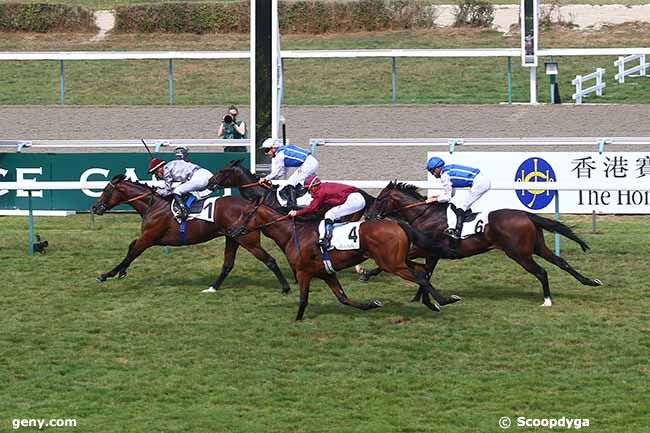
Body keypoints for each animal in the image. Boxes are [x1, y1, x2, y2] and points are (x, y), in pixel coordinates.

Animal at [89, 174, 288, 292]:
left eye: (106, 190)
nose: (96, 207)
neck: (153, 205)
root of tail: (253, 207)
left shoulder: (149, 237)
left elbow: (130, 254)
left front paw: (106, 275)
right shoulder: (154, 239)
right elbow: (131, 247)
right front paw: (121, 272)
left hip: (247, 240)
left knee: (269, 260)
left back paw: (286, 287)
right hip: (233, 237)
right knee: (228, 265)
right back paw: (212, 288)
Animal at [230, 197, 458, 318]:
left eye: (245, 214)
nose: (233, 230)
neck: (291, 234)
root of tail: (396, 223)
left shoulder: (303, 272)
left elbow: (303, 299)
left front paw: (297, 320)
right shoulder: (326, 272)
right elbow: (343, 298)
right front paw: (371, 305)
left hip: (392, 264)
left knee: (420, 276)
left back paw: (444, 300)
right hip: (398, 260)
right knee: (422, 270)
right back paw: (431, 304)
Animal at [368, 181, 600, 306]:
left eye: (378, 200)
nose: (369, 217)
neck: (424, 214)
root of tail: (527, 214)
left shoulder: (427, 248)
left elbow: (401, 262)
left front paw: (368, 273)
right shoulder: (432, 253)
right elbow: (426, 273)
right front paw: (419, 298)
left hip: (519, 254)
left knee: (542, 272)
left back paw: (547, 300)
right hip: (537, 247)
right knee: (562, 262)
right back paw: (590, 281)